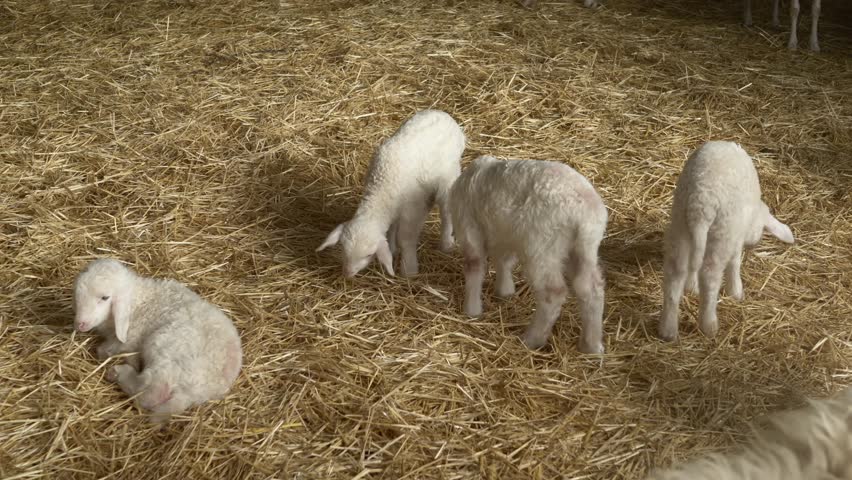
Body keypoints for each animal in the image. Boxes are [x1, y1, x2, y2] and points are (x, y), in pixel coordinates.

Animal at [72, 258, 242, 422]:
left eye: (105, 297)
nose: (80, 324)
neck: (137, 302)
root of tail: (191, 392)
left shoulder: (130, 338)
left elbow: (108, 349)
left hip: (164, 349)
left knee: (150, 392)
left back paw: (118, 373)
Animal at [316, 109, 465, 278]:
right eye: (342, 248)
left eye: (368, 255)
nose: (347, 274)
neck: (381, 189)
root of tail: (445, 115)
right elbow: (391, 228)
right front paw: (392, 249)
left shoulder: (412, 209)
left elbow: (406, 238)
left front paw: (409, 270)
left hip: (449, 175)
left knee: (446, 211)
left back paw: (446, 244)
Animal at [449, 156, 608, 353]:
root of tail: (584, 213)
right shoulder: (504, 234)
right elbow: (504, 262)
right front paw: (505, 291)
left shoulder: (469, 228)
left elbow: (474, 266)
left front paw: (471, 310)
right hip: (583, 249)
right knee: (590, 288)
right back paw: (591, 345)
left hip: (542, 246)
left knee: (553, 293)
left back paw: (532, 339)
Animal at [659, 141, 794, 342]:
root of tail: (701, 203)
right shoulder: (735, 236)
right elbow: (735, 262)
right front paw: (736, 291)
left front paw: (692, 287)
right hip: (722, 233)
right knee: (709, 275)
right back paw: (709, 325)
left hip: (679, 222)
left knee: (675, 273)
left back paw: (667, 330)